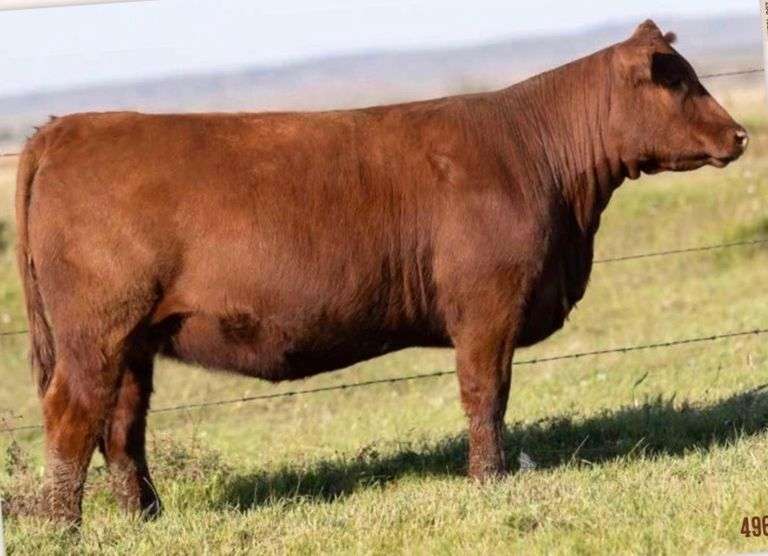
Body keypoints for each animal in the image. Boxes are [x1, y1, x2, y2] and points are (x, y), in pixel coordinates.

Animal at [15, 20, 747, 525]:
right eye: (677, 80)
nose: (739, 135)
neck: (539, 159)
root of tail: (67, 126)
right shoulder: (487, 307)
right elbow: (486, 395)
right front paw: (490, 481)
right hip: (96, 331)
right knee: (72, 414)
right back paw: (62, 526)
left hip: (134, 338)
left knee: (121, 424)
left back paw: (146, 516)